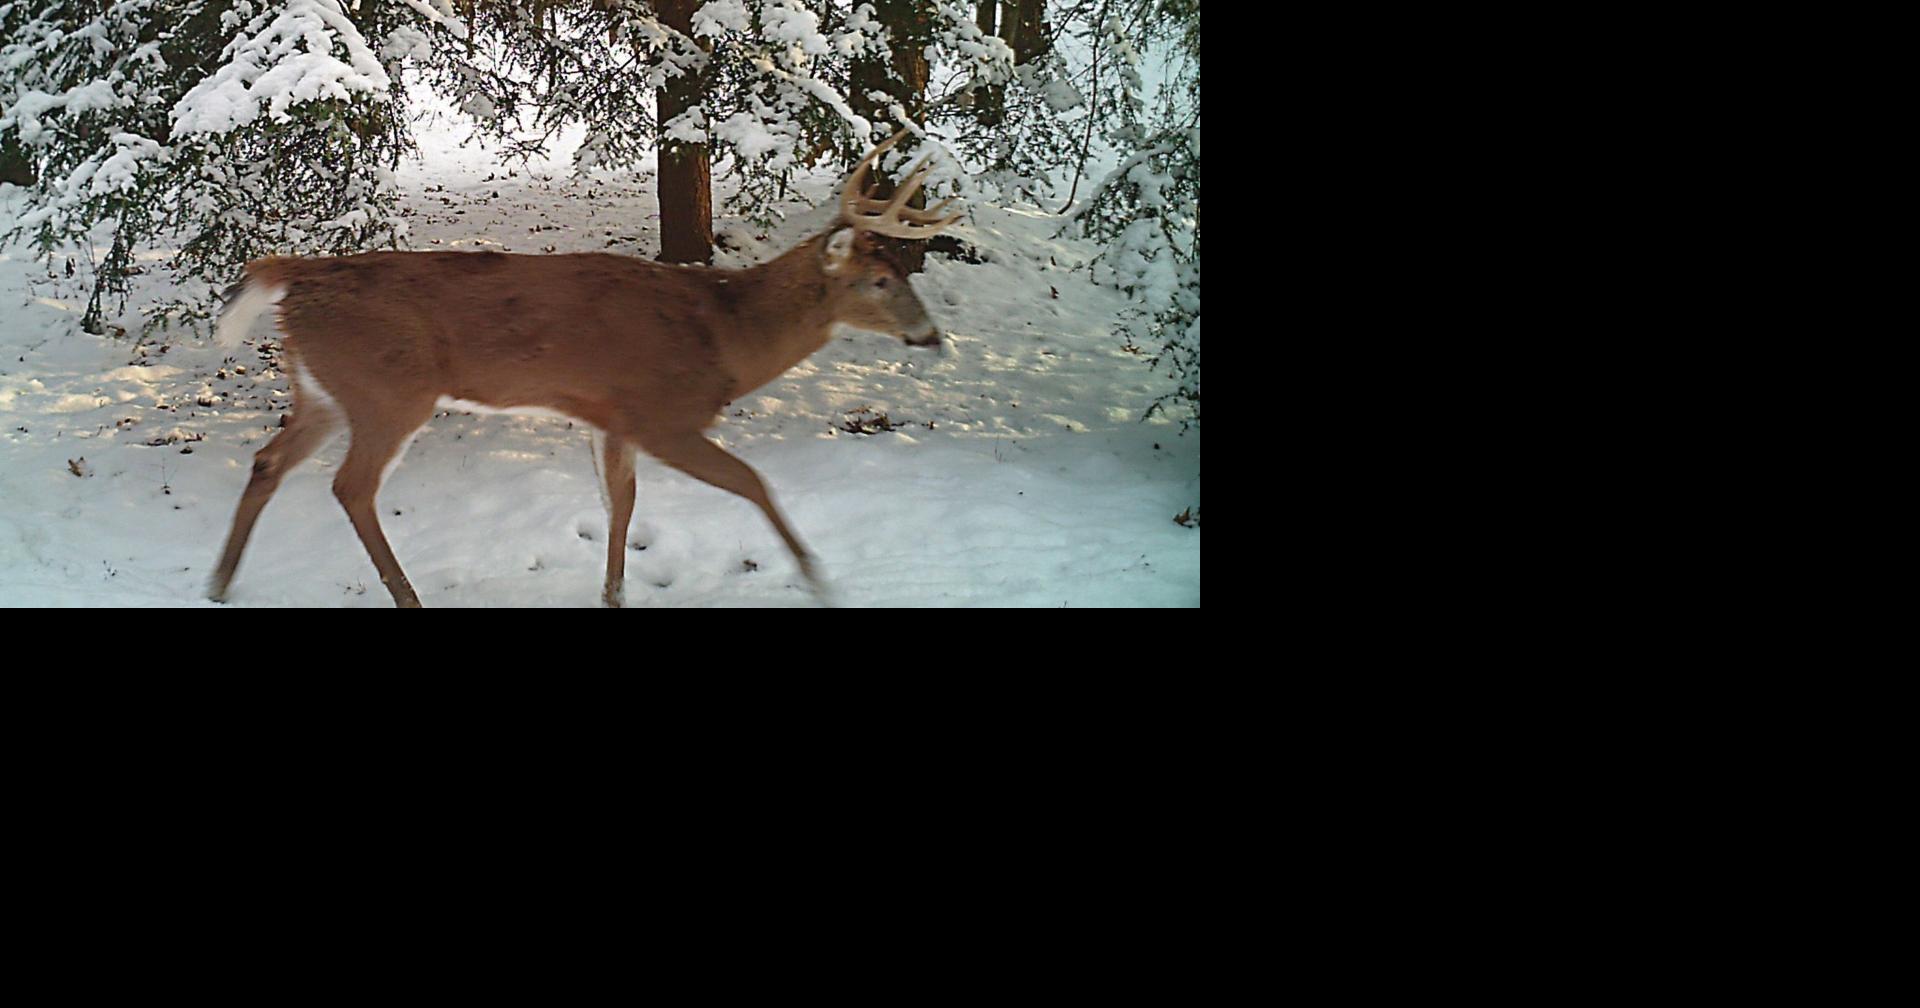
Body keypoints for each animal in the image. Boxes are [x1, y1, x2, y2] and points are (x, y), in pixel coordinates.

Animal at [207, 129, 959, 607]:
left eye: (900, 271)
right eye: (879, 280)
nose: (930, 336)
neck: (725, 339)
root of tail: (294, 275)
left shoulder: (613, 417)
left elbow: (622, 504)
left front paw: (614, 592)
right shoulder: (663, 415)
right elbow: (752, 481)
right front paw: (817, 576)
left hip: (326, 389)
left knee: (268, 462)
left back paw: (220, 583)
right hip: (389, 389)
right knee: (351, 487)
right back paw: (407, 596)